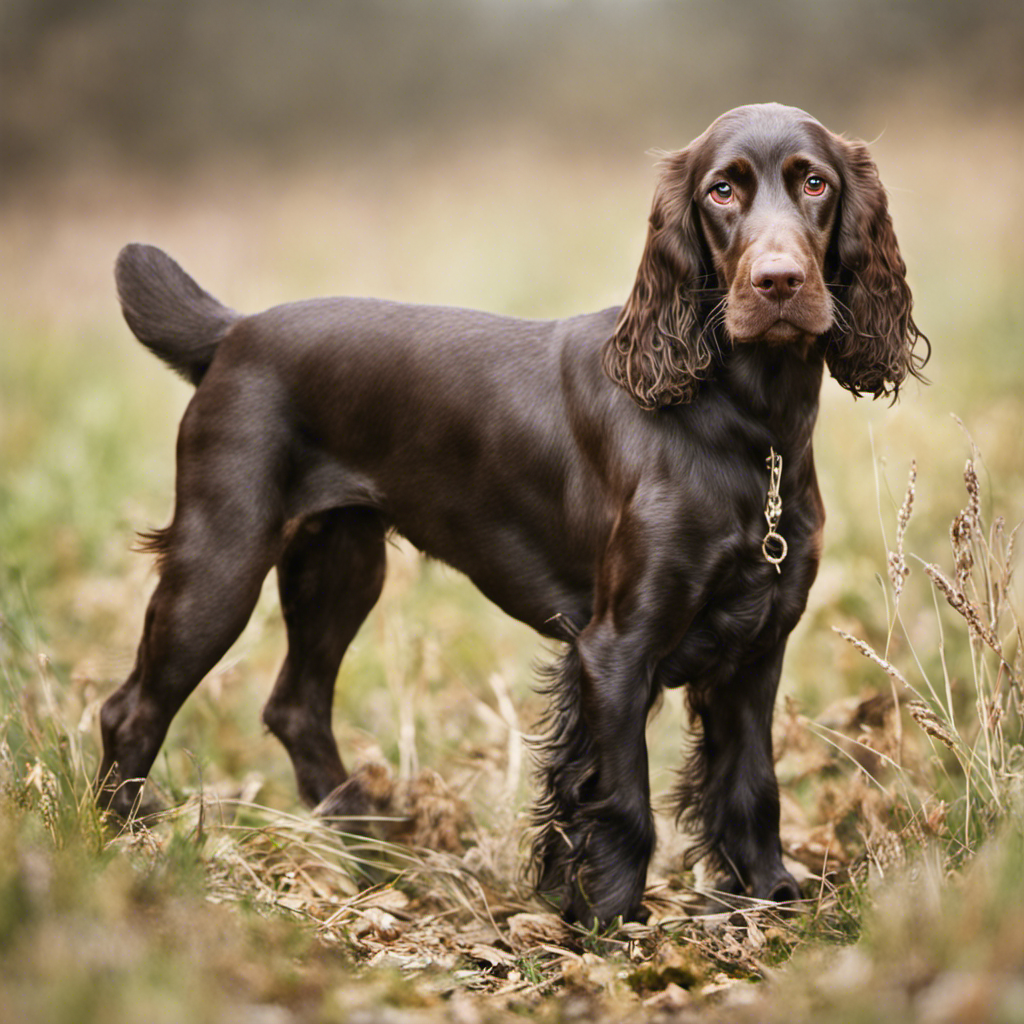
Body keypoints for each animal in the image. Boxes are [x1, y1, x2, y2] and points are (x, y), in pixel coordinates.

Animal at [97, 103, 929, 929]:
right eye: (722, 191)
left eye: (815, 183)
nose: (779, 281)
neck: (750, 427)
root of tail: (233, 331)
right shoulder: (614, 649)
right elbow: (622, 800)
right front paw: (608, 925)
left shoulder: (756, 645)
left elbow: (750, 784)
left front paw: (771, 900)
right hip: (222, 561)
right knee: (130, 710)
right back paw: (123, 851)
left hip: (341, 566)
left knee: (295, 707)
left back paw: (374, 859)